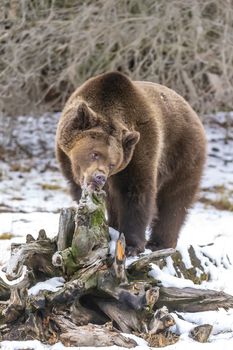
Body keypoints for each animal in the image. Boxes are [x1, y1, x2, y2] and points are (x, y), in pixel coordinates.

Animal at [56, 72, 206, 256]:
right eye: (94, 153)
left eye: (112, 163)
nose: (100, 177)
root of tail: (192, 111)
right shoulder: (66, 158)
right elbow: (81, 190)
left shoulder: (140, 150)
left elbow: (136, 192)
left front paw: (131, 245)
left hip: (182, 153)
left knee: (175, 199)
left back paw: (160, 243)